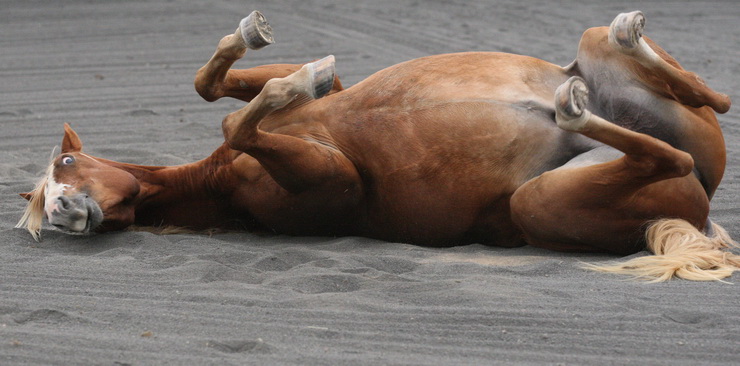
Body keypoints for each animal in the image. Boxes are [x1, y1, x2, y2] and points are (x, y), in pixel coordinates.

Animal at [14, 10, 736, 280]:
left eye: (67, 162)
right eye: (43, 206)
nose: (67, 211)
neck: (217, 182)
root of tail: (696, 209)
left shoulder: (314, 117)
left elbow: (220, 90)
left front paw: (274, 56)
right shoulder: (335, 180)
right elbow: (242, 120)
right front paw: (281, 85)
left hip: (616, 75)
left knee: (713, 98)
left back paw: (620, 39)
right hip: (539, 202)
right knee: (666, 152)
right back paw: (573, 109)